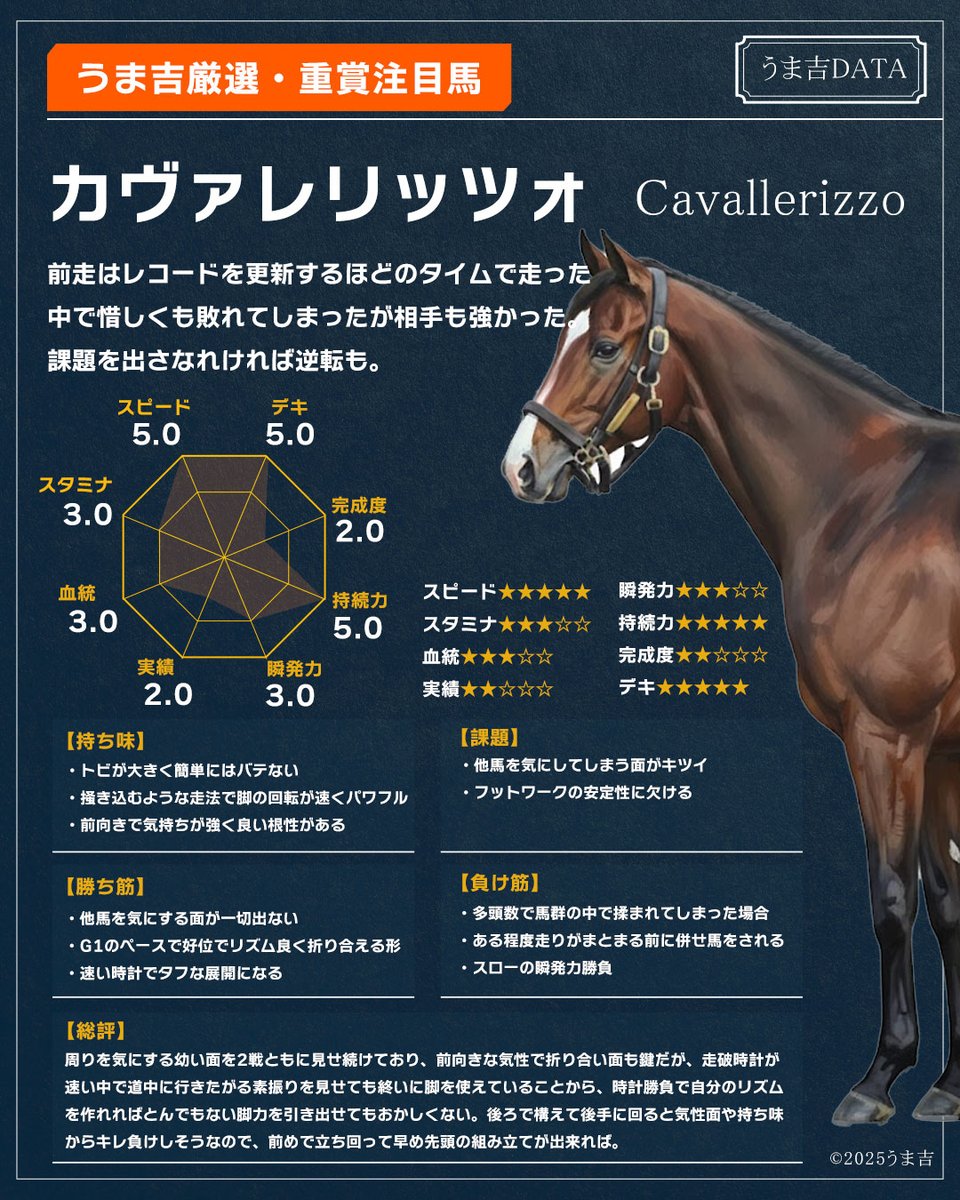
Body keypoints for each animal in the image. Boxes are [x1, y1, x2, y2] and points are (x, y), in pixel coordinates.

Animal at [502, 231, 960, 1127]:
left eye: (602, 346)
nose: (522, 467)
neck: (872, 500)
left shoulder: (889, 738)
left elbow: (893, 901)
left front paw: (879, 1079)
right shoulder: (945, 747)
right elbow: (951, 902)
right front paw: (952, 1086)